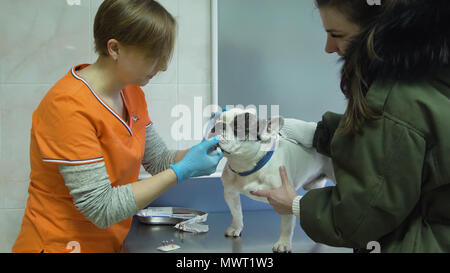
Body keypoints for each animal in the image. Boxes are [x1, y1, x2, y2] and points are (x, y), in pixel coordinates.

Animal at [207, 107, 334, 252]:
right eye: (216, 120)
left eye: (238, 127)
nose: (218, 125)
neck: (247, 165)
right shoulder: (230, 193)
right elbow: (236, 213)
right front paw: (236, 227)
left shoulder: (285, 198)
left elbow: (286, 225)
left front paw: (283, 243)